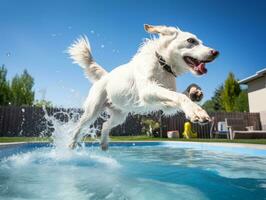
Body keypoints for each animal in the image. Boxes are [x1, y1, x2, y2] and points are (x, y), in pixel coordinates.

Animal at [67, 24, 219, 149]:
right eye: (191, 40)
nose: (216, 52)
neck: (163, 65)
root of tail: (106, 76)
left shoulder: (166, 105)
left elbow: (182, 92)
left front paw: (195, 92)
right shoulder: (147, 91)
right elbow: (180, 96)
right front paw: (196, 112)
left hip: (119, 116)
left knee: (105, 125)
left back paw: (104, 145)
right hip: (92, 111)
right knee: (79, 127)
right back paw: (71, 144)